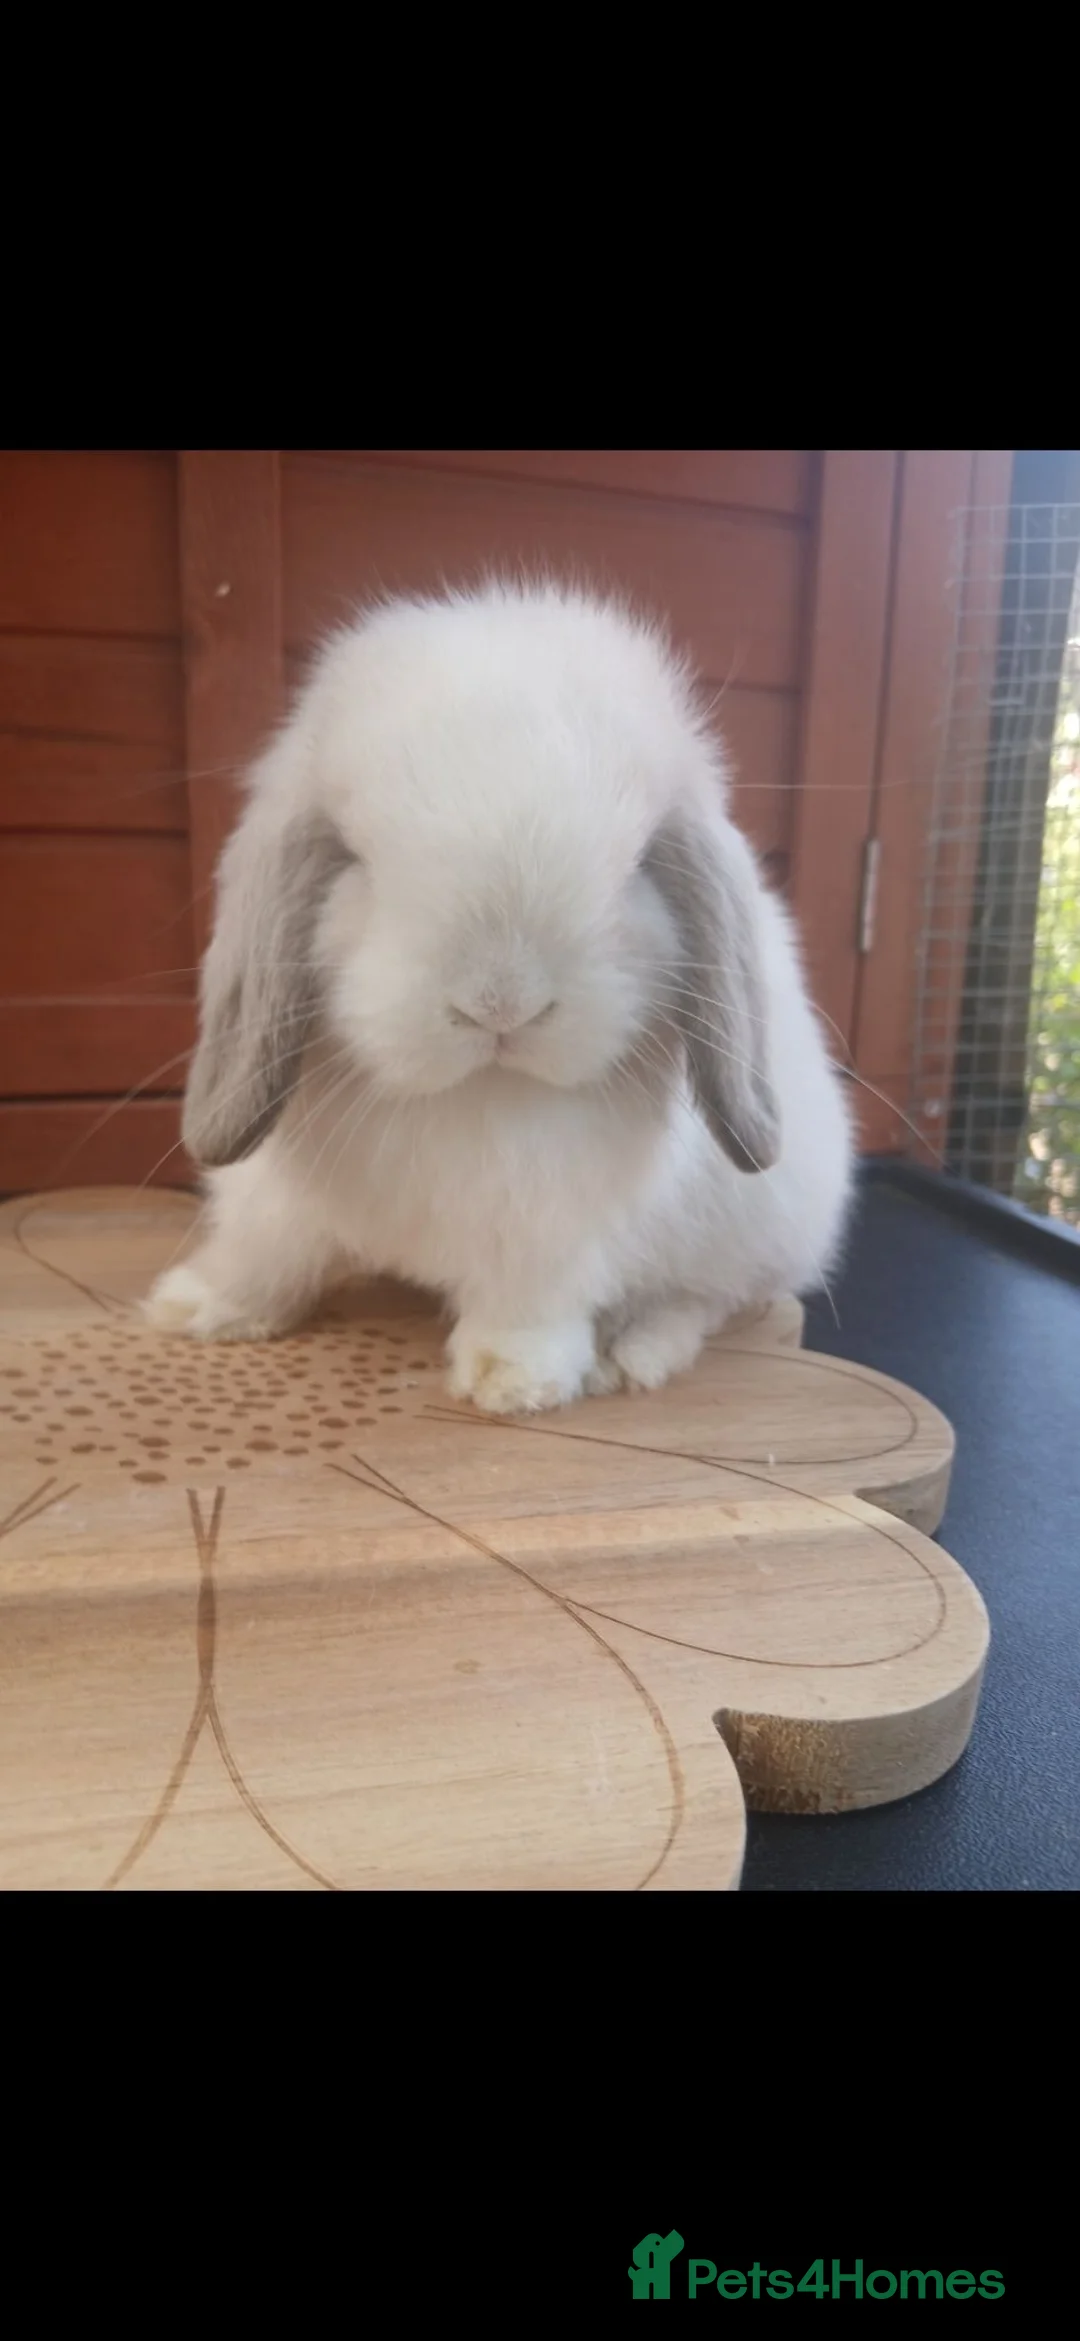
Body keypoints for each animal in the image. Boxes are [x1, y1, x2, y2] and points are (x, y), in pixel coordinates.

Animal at [145, 581, 854, 1414]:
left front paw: (514, 1382)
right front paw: (197, 1308)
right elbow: (265, 1249)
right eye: (353, 857)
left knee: (703, 1298)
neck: (472, 1096)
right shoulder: (277, 1193)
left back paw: (632, 1351)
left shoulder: (548, 1231)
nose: (500, 1004)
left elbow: (527, 1299)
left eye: (641, 863)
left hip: (755, 1235)